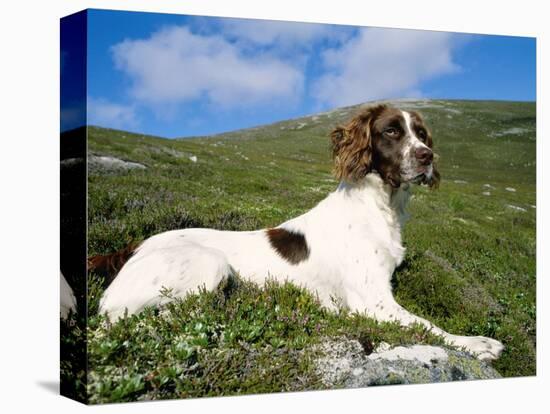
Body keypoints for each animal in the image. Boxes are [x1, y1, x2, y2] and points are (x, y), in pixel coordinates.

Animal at [94, 105, 504, 360]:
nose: (427, 157)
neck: (379, 207)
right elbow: (427, 324)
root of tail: (131, 248)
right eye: (391, 131)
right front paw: (477, 344)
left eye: (421, 134)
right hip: (208, 264)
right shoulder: (372, 301)